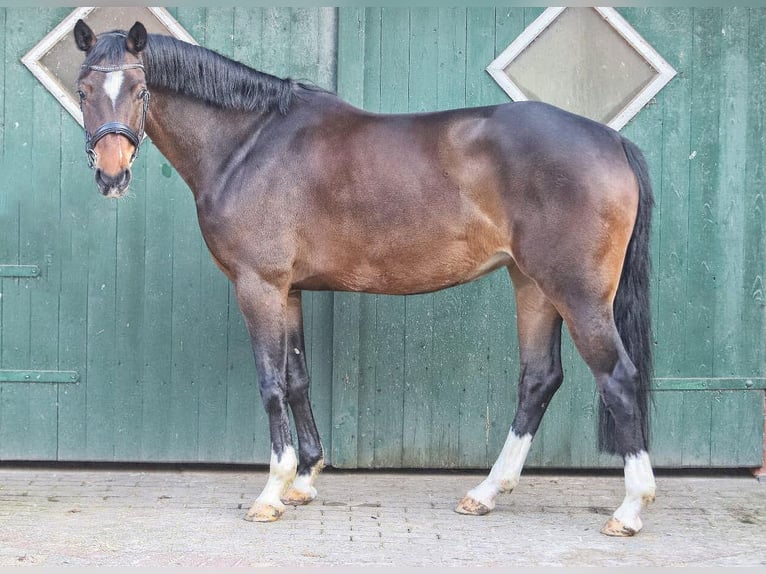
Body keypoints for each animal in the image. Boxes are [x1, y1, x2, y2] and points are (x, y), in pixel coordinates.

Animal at [73, 19, 660, 540]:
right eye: (83, 90)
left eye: (140, 89)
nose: (110, 174)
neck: (248, 145)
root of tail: (610, 140)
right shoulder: (289, 292)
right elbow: (297, 379)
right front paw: (304, 479)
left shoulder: (258, 286)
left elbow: (270, 384)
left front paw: (271, 492)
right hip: (532, 286)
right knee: (539, 380)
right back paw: (486, 493)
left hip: (577, 293)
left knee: (618, 378)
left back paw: (630, 508)